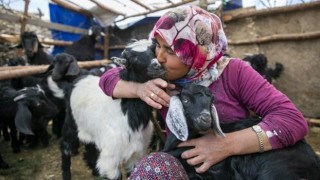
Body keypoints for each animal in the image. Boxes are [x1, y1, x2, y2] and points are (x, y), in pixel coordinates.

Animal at [57, 38, 166, 179]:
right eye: (133, 59)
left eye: (154, 50)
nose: (157, 66)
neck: (127, 117)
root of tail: (80, 77)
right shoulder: (111, 160)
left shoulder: (136, 155)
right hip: (71, 122)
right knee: (66, 145)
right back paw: (66, 174)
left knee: (89, 147)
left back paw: (95, 171)